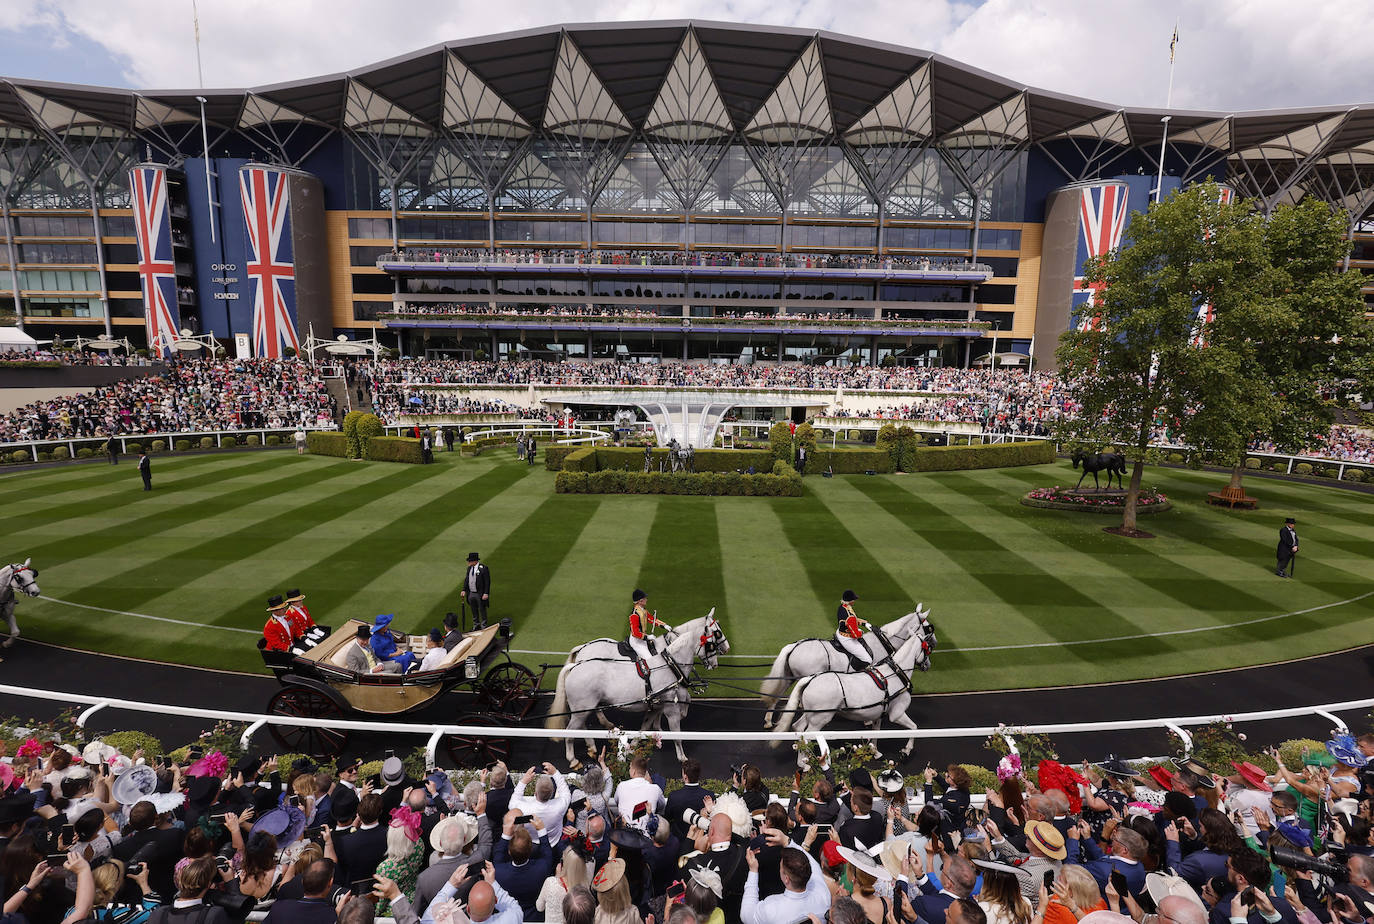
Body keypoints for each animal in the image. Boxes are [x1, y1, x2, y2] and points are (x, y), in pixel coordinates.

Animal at [544, 613, 730, 764]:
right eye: (717, 634)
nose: (725, 651)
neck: (669, 664)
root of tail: (577, 663)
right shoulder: (670, 707)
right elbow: (676, 731)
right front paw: (681, 756)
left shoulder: (656, 705)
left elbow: (645, 726)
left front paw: (641, 741)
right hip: (582, 708)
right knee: (572, 729)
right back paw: (574, 758)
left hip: (583, 708)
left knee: (583, 723)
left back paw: (593, 745)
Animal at [758, 605, 939, 731]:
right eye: (928, 627)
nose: (935, 642)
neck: (880, 642)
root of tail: (795, 645)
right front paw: (867, 718)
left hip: (789, 677)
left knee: (776, 694)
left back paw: (768, 720)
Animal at [774, 624, 934, 759]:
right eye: (928, 648)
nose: (927, 665)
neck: (895, 673)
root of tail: (811, 679)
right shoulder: (897, 713)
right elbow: (914, 728)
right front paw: (906, 750)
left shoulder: (878, 714)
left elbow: (876, 733)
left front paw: (875, 751)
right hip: (819, 719)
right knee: (806, 736)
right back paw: (805, 763)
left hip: (811, 715)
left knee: (799, 728)